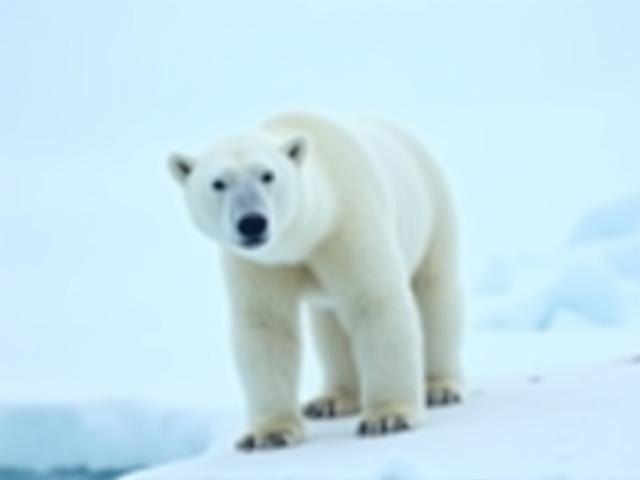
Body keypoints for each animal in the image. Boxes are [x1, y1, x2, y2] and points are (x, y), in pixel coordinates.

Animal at [168, 111, 464, 451]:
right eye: (218, 183)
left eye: (267, 175)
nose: (252, 222)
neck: (310, 230)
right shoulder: (258, 263)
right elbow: (267, 324)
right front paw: (269, 433)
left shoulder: (348, 226)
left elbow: (374, 302)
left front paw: (388, 417)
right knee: (329, 325)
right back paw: (330, 400)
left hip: (434, 211)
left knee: (435, 295)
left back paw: (440, 386)